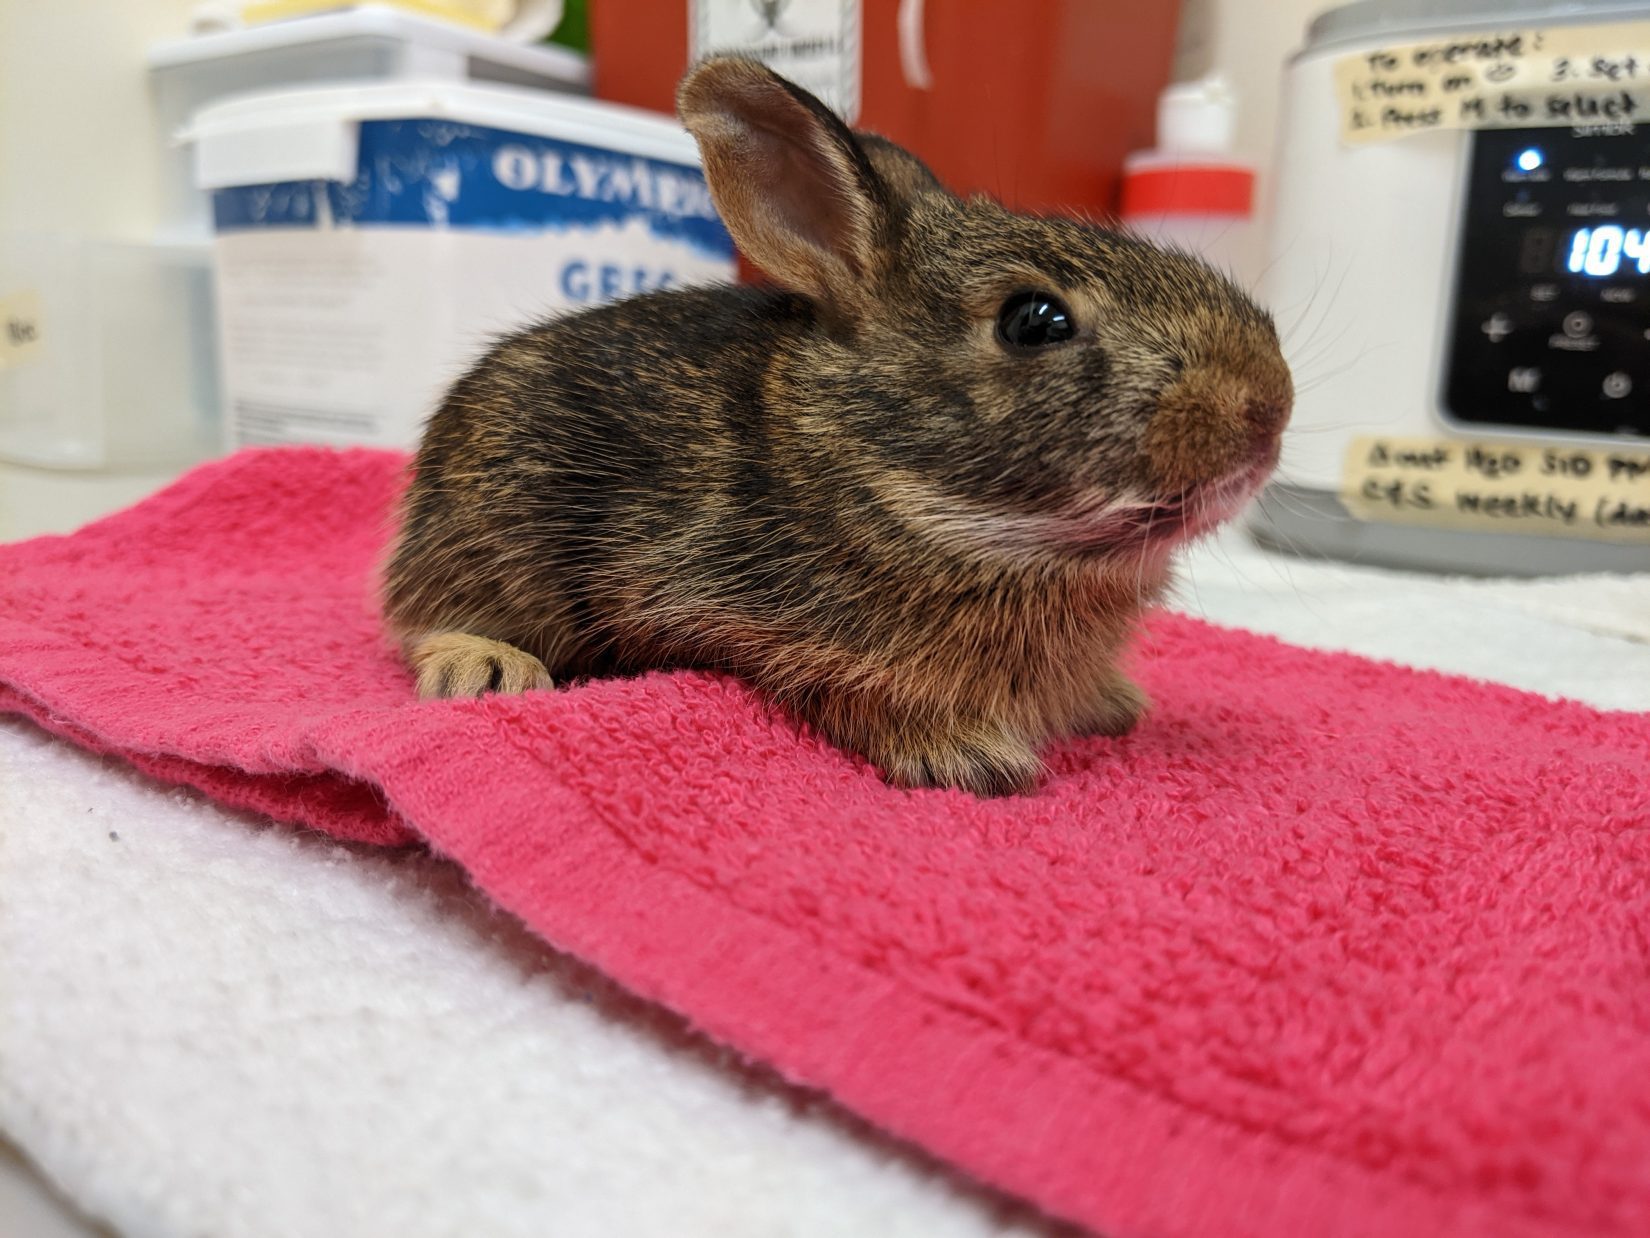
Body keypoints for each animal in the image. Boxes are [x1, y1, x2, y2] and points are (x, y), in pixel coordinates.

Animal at [382, 55, 1287, 795]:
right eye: (1034, 322)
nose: (1270, 407)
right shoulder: (730, 620)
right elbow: (843, 691)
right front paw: (964, 754)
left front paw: (1112, 702)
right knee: (420, 617)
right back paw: (484, 665)